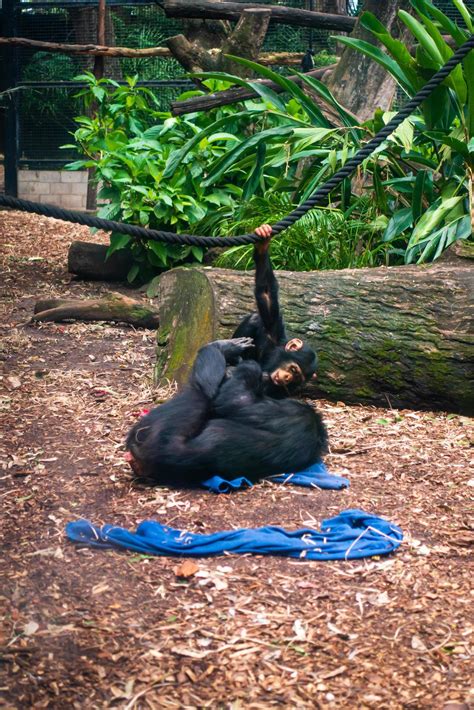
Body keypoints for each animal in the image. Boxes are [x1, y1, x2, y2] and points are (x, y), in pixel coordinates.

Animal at [125, 340, 326, 490]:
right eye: (293, 370)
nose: (286, 378)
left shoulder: (284, 410)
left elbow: (234, 400)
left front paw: (245, 365)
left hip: (157, 434)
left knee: (202, 394)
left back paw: (220, 347)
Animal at [231, 225, 316, 398]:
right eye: (293, 369)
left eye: (296, 377)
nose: (287, 377)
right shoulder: (273, 328)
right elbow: (266, 292)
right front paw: (263, 245)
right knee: (255, 318)